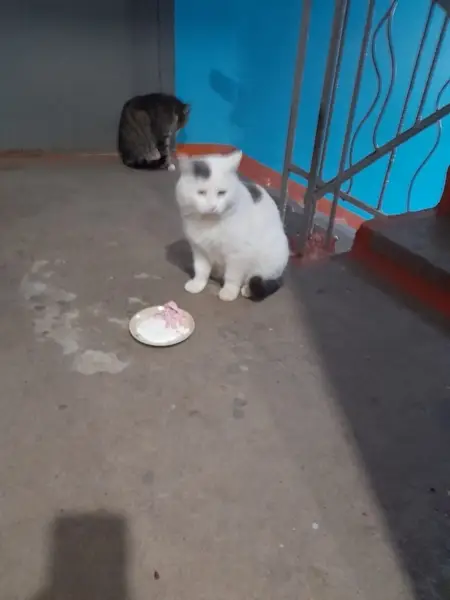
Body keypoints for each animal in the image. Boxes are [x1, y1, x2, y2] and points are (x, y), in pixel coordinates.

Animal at [175, 150, 290, 302]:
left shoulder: (238, 254)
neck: (210, 224)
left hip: (270, 259)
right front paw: (197, 284)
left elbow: (232, 277)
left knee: (258, 278)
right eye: (201, 192)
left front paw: (229, 292)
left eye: (221, 193)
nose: (213, 206)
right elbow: (201, 270)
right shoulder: (199, 250)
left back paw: (247, 289)